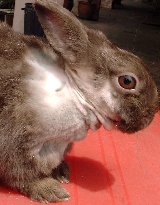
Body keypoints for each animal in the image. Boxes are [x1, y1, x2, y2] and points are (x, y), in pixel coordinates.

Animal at [0, 0, 158, 203]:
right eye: (128, 81)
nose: (150, 117)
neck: (75, 93)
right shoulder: (14, 141)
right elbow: (22, 176)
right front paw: (51, 190)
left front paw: (61, 172)